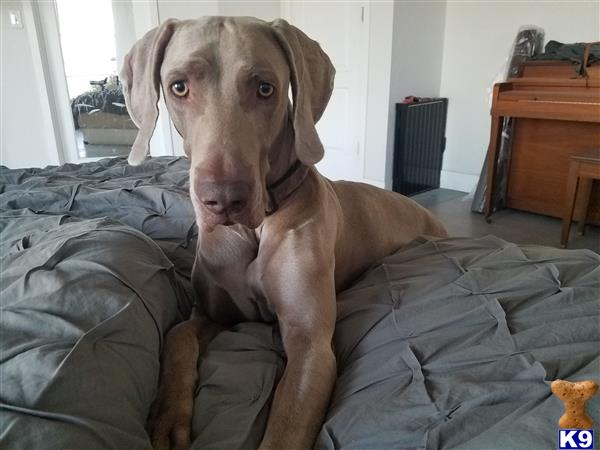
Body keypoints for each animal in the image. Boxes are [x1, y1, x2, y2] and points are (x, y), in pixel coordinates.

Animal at [120, 15, 446, 450]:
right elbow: (177, 335)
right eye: (178, 87)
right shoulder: (215, 314)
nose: (224, 200)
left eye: (264, 88)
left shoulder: (311, 345)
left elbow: (285, 429)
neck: (255, 229)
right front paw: (168, 417)